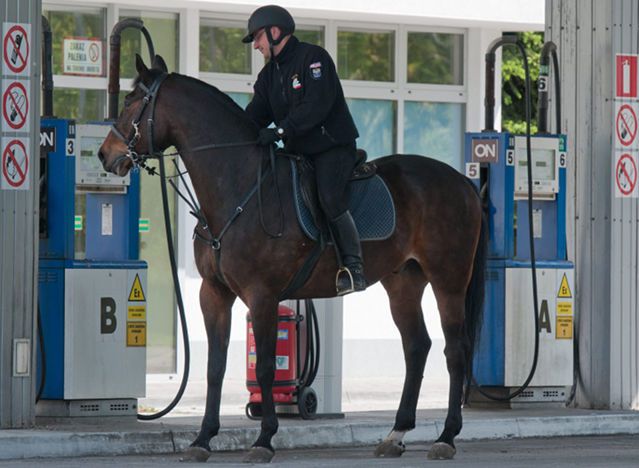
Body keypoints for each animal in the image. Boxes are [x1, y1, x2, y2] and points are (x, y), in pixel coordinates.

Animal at [99, 54, 484, 460]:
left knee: (455, 350)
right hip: (403, 283)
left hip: (448, 281)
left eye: (131, 102)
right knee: (417, 346)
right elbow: (215, 367)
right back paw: (396, 433)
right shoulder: (213, 293)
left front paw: (264, 438)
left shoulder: (262, 295)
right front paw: (202, 439)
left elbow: (266, 367)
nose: (106, 154)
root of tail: (462, 181)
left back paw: (446, 436)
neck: (239, 185)